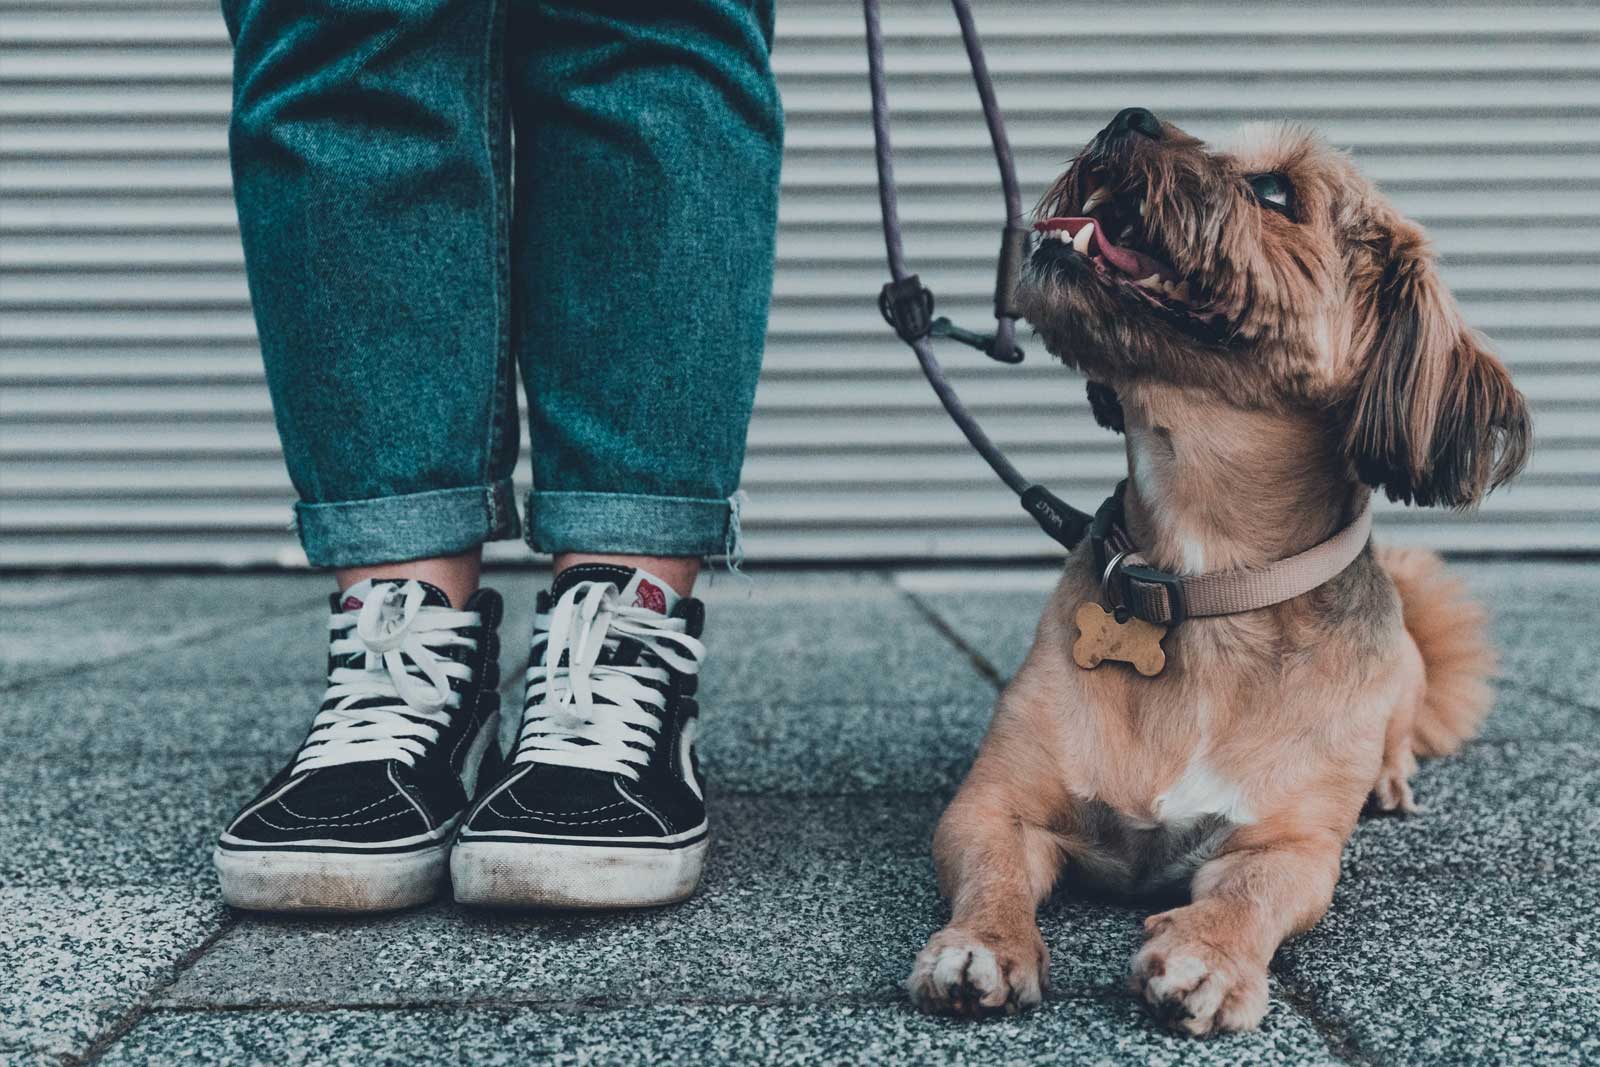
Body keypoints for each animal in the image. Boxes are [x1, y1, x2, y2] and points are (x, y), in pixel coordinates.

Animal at [908, 108, 1529, 1036]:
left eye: (1273, 190)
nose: (1127, 118)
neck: (1199, 583)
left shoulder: (1289, 846)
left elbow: (1256, 893)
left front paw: (1208, 953)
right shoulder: (992, 806)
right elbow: (996, 873)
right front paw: (982, 942)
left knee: (1395, 733)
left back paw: (1387, 778)